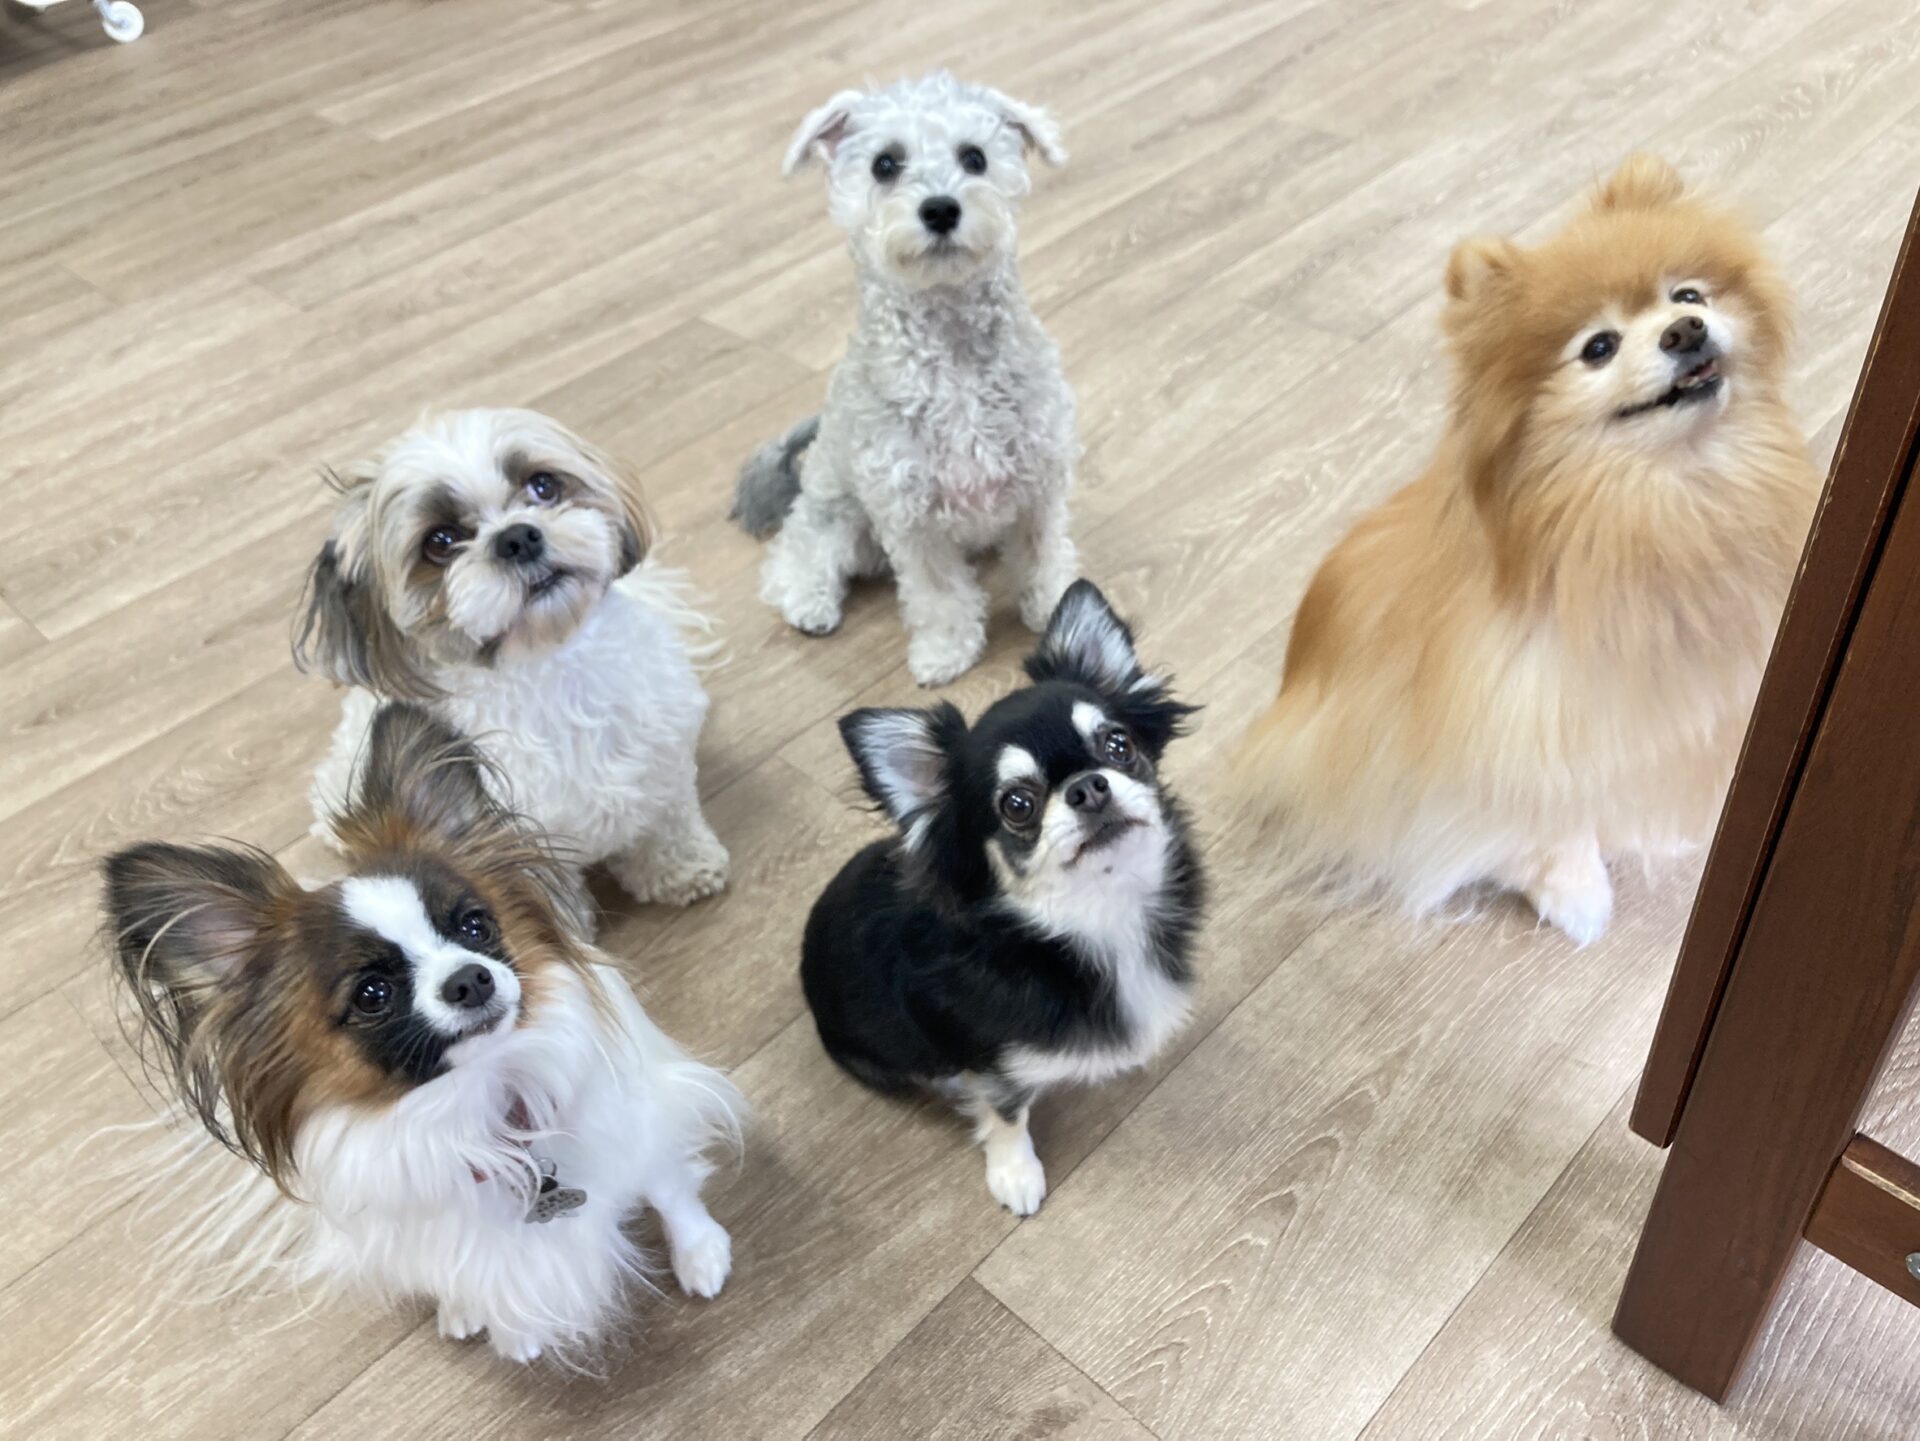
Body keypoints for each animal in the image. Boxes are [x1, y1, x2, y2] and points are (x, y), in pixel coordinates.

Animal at [101, 703, 740, 1365]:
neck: (476, 1109)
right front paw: (501, 1325)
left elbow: (669, 1186)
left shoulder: (637, 1126)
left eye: (475, 926)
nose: (470, 979)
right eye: (371, 994)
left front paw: (700, 1252)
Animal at [297, 408, 729, 917]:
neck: (550, 672)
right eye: (441, 541)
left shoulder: (662, 764)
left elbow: (668, 824)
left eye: (543, 486)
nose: (518, 537)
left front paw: (684, 869)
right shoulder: (520, 845)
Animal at [733, 71, 1081, 688]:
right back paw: (808, 602)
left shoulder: (1039, 485)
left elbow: (1043, 558)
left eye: (975, 157)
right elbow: (938, 596)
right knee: (795, 554)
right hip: (837, 514)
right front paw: (946, 653)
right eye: (885, 164)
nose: (940, 209)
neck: (955, 361)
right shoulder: (912, 519)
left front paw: (1056, 613)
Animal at [801, 581, 1203, 1214]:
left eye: (1118, 745)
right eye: (1017, 805)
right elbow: (1007, 1112)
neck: (1092, 917)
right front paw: (1015, 1173)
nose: (1088, 787)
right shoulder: (990, 1064)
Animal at [1235, 155, 1821, 944]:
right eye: (1598, 347)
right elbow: (1541, 813)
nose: (1685, 330)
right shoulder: (1512, 716)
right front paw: (1572, 889)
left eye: (1688, 293)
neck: (1663, 505)